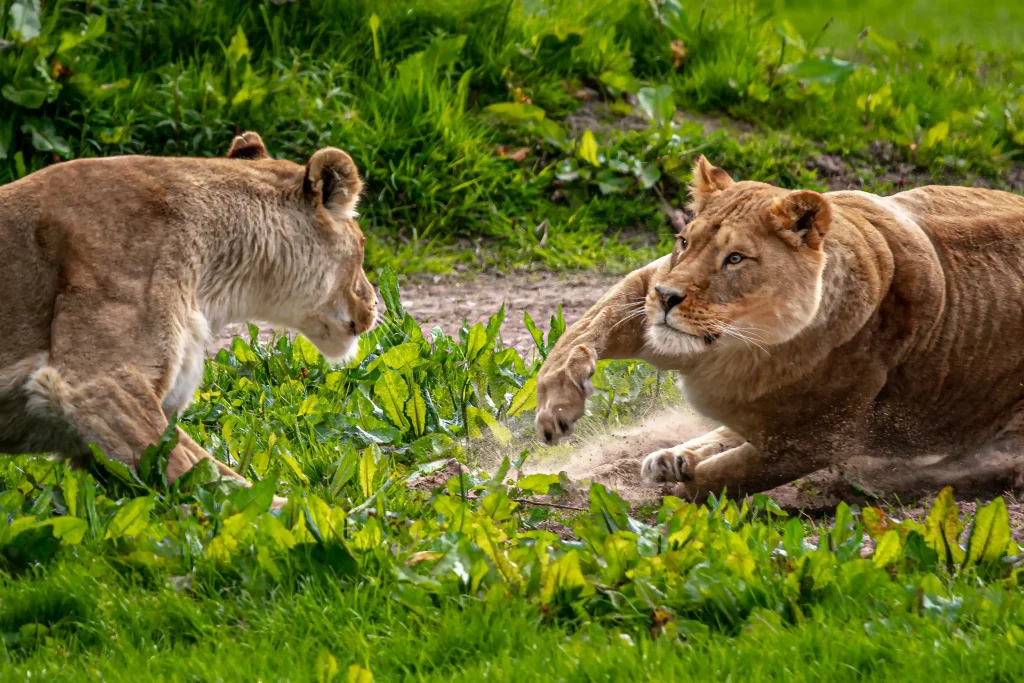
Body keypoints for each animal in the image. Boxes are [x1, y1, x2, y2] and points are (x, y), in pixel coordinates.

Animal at [0, 132, 377, 506]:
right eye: (362, 244)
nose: (374, 303)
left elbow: (202, 469)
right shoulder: (96, 384)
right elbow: (208, 477)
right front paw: (317, 511)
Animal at [536, 156, 1024, 501]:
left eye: (735, 258)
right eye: (684, 242)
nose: (668, 298)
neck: (741, 345)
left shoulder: (813, 442)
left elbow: (729, 477)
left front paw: (678, 496)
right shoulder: (646, 285)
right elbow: (577, 335)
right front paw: (556, 410)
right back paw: (675, 455)